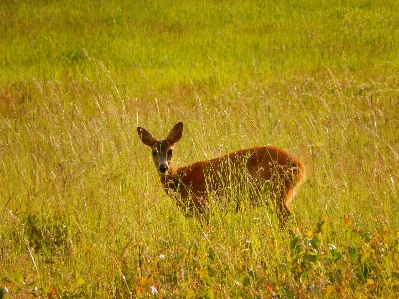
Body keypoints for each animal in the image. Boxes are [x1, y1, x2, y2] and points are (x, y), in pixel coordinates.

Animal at [138, 122, 306, 230]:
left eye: (170, 151)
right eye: (154, 152)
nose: (163, 167)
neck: (182, 180)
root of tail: (301, 168)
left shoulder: (203, 207)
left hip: (276, 194)